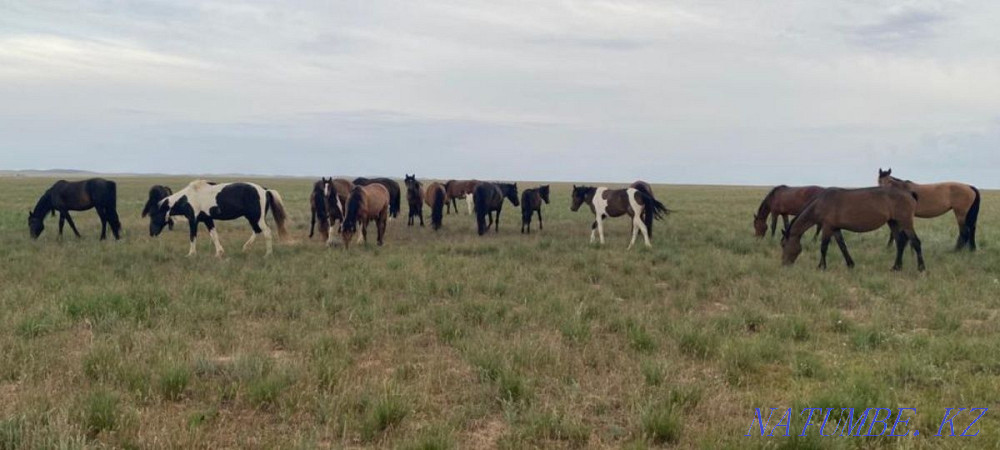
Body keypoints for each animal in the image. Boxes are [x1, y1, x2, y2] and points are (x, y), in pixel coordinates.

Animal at [148, 180, 288, 256]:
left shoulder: (193, 220)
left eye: (153, 215)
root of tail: (265, 190)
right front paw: (219, 253)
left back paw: (267, 254)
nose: (151, 233)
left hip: (257, 218)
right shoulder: (207, 219)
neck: (188, 198)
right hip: (252, 218)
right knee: (257, 231)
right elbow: (214, 235)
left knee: (267, 232)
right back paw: (245, 248)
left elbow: (192, 237)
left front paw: (190, 254)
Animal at [781, 186, 925, 271]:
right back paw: (896, 267)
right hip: (893, 222)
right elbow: (842, 246)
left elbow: (823, 247)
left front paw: (821, 267)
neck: (821, 203)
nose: (783, 264)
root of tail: (909, 192)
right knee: (900, 242)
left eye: (783, 244)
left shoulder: (827, 227)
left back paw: (921, 268)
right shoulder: (835, 228)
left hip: (905, 222)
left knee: (915, 242)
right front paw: (850, 264)